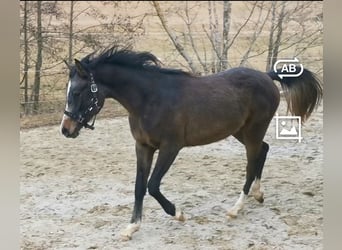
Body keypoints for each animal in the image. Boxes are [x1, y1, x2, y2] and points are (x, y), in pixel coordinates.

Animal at [60, 46, 324, 240]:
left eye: (77, 92)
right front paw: (131, 228)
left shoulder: (170, 148)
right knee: (264, 150)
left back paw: (236, 208)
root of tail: (267, 76)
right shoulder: (143, 147)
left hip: (252, 131)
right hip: (240, 130)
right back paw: (258, 195)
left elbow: (152, 185)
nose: (65, 129)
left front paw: (178, 214)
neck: (149, 99)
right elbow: (139, 186)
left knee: (251, 163)